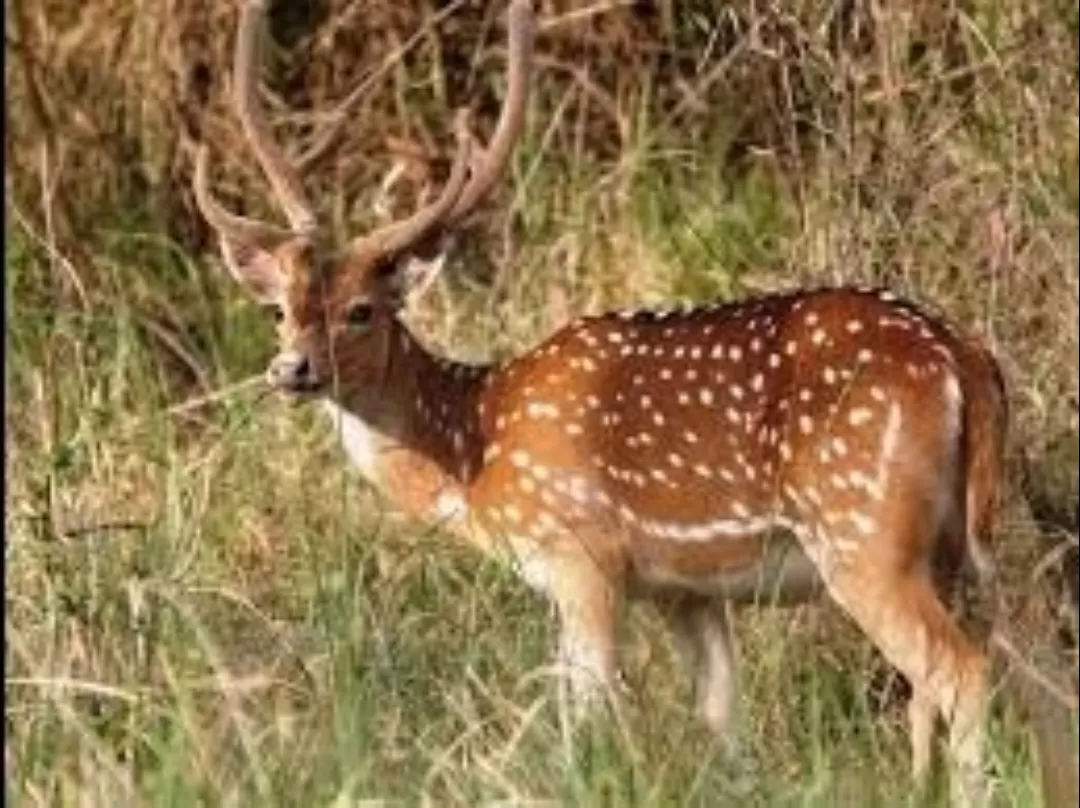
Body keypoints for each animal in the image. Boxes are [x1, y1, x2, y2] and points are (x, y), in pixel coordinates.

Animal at [194, 3, 1028, 803]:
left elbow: (586, 722)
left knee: (962, 671)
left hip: (863, 532)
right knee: (942, 682)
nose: (291, 368)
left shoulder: (580, 556)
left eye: (362, 310)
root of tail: (963, 357)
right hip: (946, 545)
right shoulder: (685, 591)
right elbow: (726, 727)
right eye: (278, 310)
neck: (475, 449)